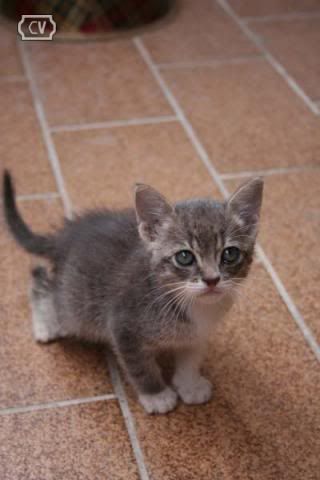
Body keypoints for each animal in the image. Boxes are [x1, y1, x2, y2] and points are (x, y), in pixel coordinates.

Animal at [2, 172, 262, 412]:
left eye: (230, 254)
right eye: (184, 257)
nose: (212, 280)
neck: (192, 304)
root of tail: (64, 237)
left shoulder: (198, 333)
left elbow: (191, 357)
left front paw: (189, 384)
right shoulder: (123, 326)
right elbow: (140, 366)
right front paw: (157, 395)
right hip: (75, 308)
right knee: (40, 278)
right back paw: (45, 324)